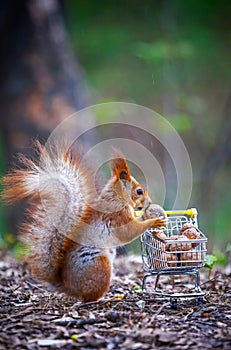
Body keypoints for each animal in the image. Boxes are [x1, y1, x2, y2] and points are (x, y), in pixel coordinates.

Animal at [0, 141, 167, 302]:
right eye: (139, 191)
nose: (149, 202)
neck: (117, 197)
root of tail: (68, 287)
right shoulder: (118, 216)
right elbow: (129, 231)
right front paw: (153, 221)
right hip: (99, 267)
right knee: (88, 298)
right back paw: (107, 298)